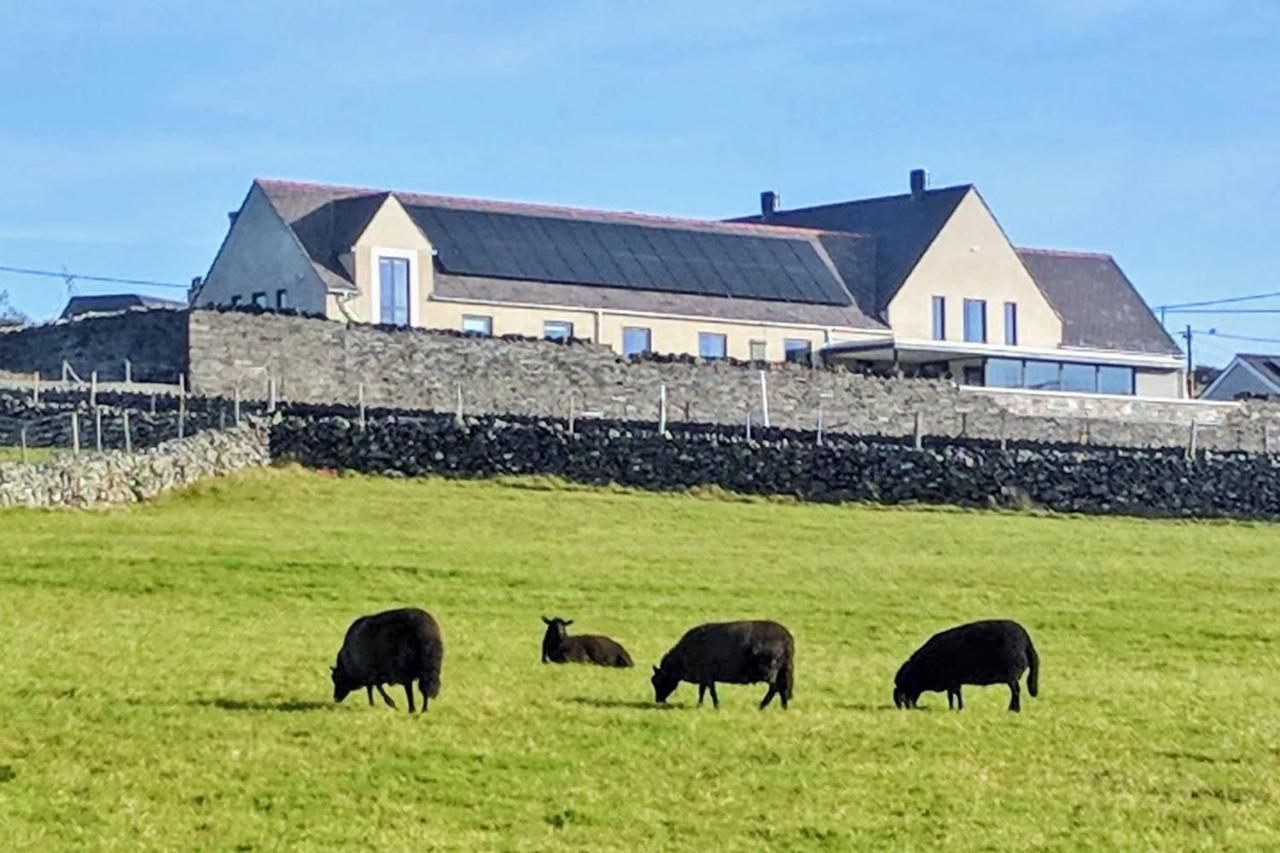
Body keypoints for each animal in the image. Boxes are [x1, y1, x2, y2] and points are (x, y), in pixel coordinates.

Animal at [655, 614, 793, 706]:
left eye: (657, 681)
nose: (658, 701)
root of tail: (787, 637)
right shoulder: (704, 677)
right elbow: (702, 690)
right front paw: (700, 704)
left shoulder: (707, 676)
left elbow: (710, 691)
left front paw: (715, 705)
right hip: (782, 670)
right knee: (782, 688)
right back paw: (783, 707)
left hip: (768, 670)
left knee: (775, 688)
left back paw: (763, 705)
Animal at [890, 617, 1039, 712]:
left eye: (904, 693)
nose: (910, 709)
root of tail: (1026, 640)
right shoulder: (954, 681)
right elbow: (955, 695)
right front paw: (957, 708)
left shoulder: (951, 680)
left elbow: (953, 695)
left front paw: (955, 708)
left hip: (1011, 674)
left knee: (1015, 691)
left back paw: (1014, 709)